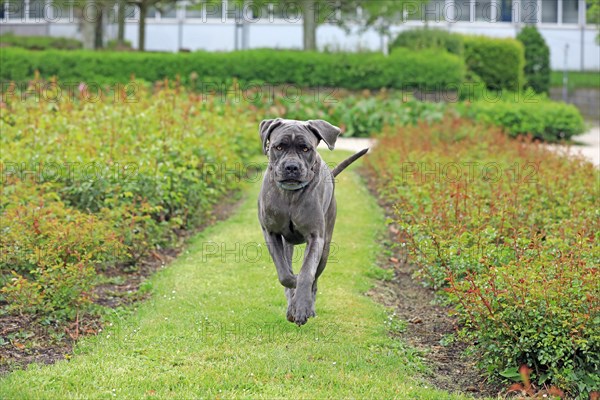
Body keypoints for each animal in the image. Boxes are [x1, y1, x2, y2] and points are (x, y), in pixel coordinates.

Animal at [256, 118, 366, 324]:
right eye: (279, 146)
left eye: (306, 148)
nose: (291, 167)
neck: (290, 196)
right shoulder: (271, 232)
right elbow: (284, 273)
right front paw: (293, 287)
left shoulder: (316, 238)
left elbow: (307, 272)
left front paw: (301, 307)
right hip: (287, 244)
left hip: (326, 247)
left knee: (315, 279)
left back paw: (307, 306)